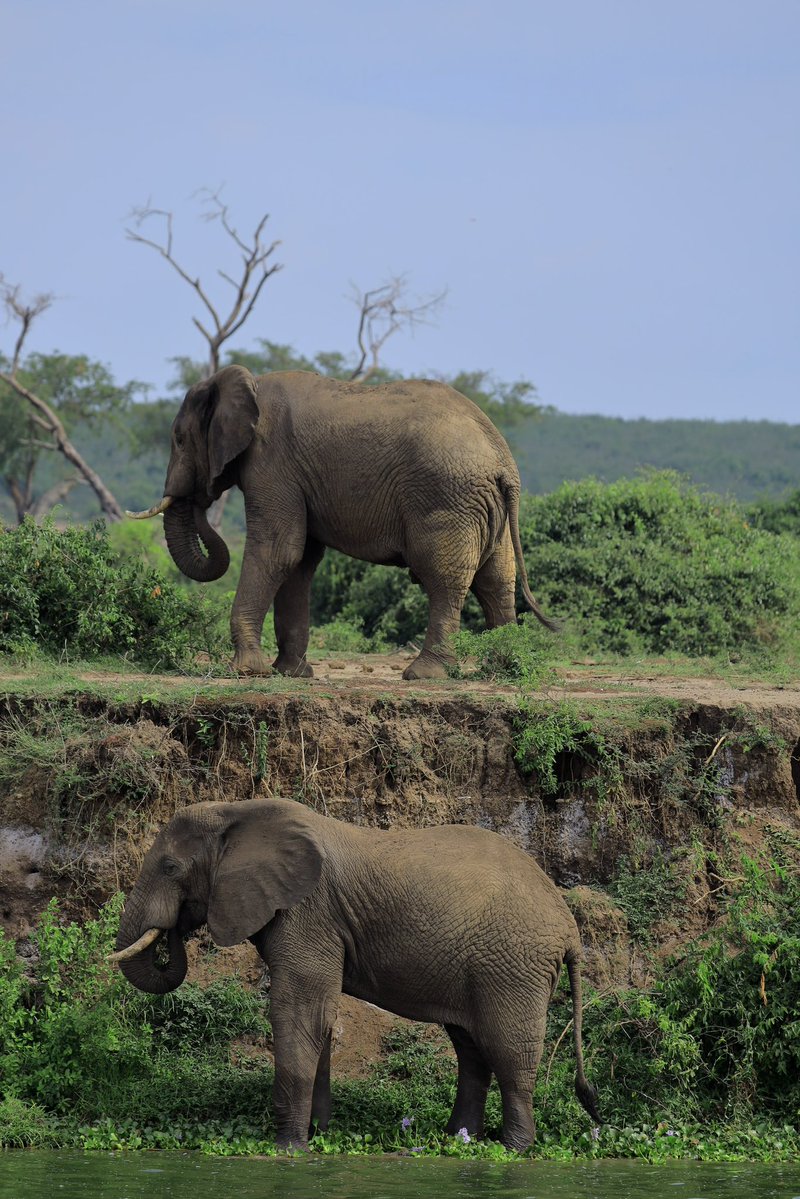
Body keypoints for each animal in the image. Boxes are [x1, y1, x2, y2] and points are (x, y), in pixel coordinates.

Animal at [109, 798, 600, 1151]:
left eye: (170, 868)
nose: (177, 928)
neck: (236, 811)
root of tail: (569, 927)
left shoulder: (308, 913)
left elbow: (298, 1014)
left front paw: (289, 1147)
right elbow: (319, 1020)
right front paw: (318, 1136)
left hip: (514, 966)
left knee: (510, 1054)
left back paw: (514, 1150)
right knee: (472, 1050)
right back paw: (459, 1142)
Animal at [128, 366, 558, 680]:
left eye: (179, 440)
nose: (203, 494)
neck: (247, 383)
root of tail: (502, 458)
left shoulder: (272, 463)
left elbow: (278, 550)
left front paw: (246, 672)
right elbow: (299, 561)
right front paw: (290, 674)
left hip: (447, 496)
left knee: (444, 578)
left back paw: (423, 675)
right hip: (486, 505)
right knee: (496, 580)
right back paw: (501, 668)